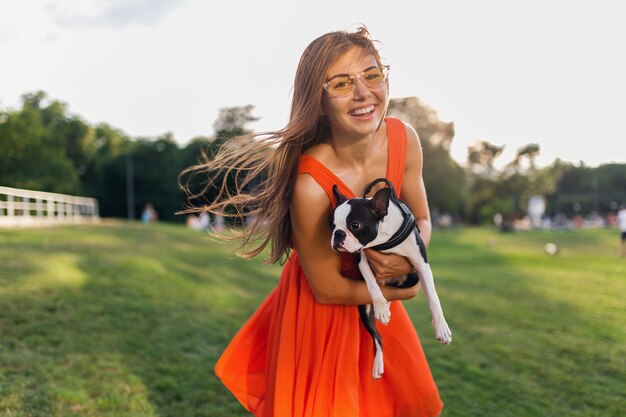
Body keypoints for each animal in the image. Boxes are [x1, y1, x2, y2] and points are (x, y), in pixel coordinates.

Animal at [332, 177, 448, 378]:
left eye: (355, 225)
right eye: (331, 224)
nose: (337, 234)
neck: (382, 240)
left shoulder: (421, 264)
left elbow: (433, 298)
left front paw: (441, 326)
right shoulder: (361, 258)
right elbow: (372, 284)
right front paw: (380, 306)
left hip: (412, 278)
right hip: (364, 310)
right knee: (377, 337)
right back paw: (378, 362)